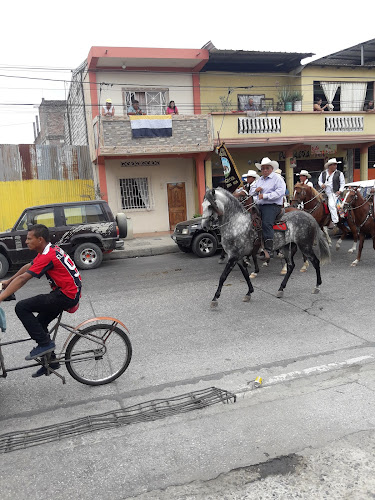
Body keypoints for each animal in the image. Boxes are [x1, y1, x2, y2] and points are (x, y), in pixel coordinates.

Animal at [203, 188, 332, 306]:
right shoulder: (238, 258)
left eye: (210, 206)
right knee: (291, 266)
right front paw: (249, 292)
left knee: (315, 262)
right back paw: (281, 289)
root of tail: (307, 215)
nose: (204, 226)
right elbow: (245, 275)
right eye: (203, 205)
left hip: (305, 246)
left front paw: (215, 298)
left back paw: (317, 286)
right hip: (286, 247)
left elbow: (223, 276)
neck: (236, 223)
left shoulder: (234, 257)